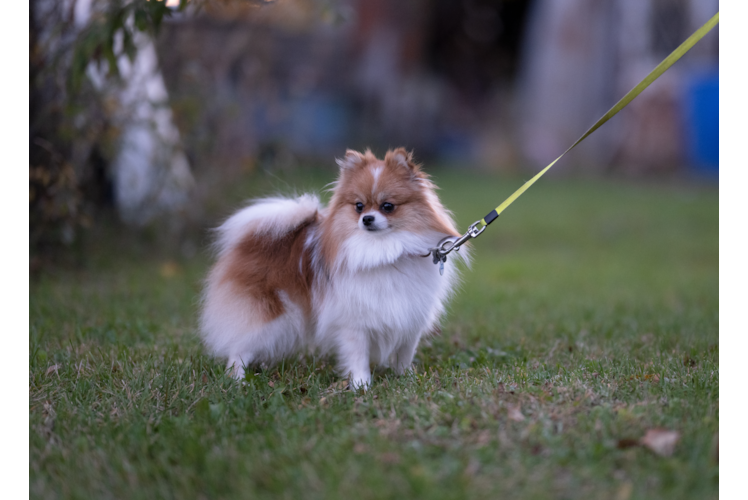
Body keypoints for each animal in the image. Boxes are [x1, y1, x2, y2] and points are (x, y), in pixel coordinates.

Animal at [199, 146, 468, 388]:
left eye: (387, 206)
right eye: (359, 206)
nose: (366, 219)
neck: (383, 251)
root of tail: (250, 241)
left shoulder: (410, 318)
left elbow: (404, 355)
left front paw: (407, 379)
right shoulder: (355, 322)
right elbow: (358, 357)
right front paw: (361, 385)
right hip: (268, 315)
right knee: (239, 347)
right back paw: (237, 379)